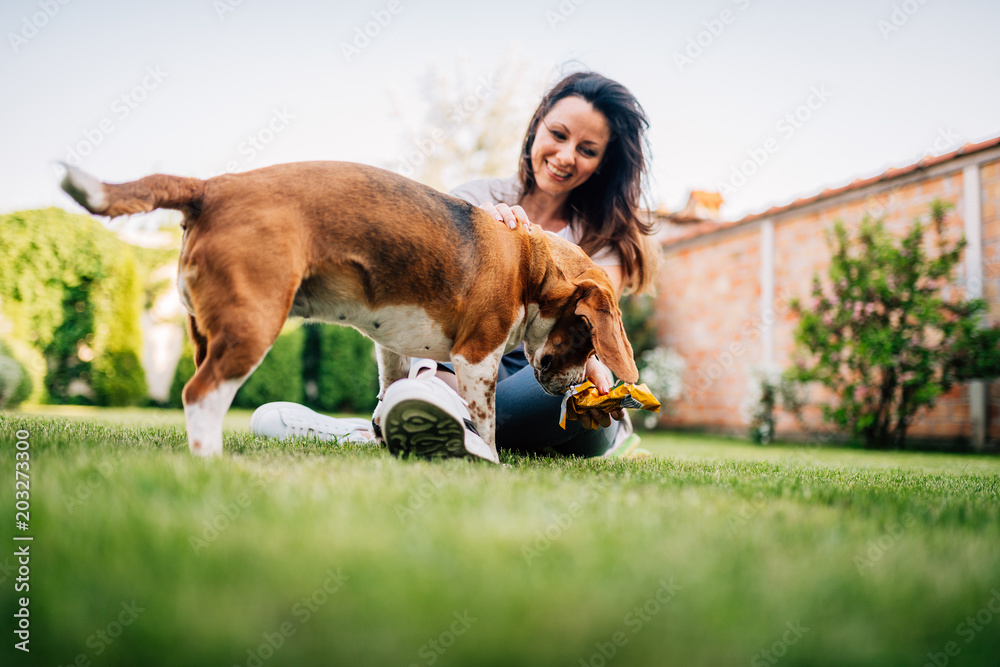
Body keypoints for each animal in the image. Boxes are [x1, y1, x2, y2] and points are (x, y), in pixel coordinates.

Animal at [62, 162, 636, 460]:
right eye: (587, 336)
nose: (574, 389)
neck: (528, 261)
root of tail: (212, 186)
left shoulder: (392, 349)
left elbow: (389, 392)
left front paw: (385, 438)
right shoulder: (477, 358)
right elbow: (487, 423)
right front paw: (489, 461)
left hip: (206, 332)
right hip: (252, 327)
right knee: (199, 396)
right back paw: (211, 464)